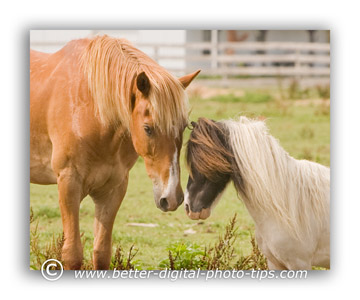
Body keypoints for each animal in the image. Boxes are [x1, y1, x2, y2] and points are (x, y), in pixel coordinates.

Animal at [29, 35, 200, 270]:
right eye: (148, 128)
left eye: (184, 126)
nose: (172, 198)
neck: (92, 112)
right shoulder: (68, 183)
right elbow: (72, 254)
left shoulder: (113, 189)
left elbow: (101, 253)